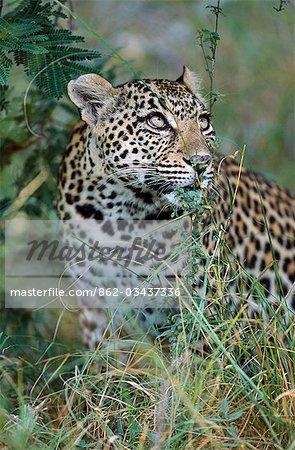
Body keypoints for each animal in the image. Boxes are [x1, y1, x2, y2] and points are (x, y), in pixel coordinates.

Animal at [56, 67, 294, 350]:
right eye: (156, 121)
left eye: (203, 121)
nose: (202, 162)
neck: (122, 214)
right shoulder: (96, 306)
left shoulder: (203, 308)